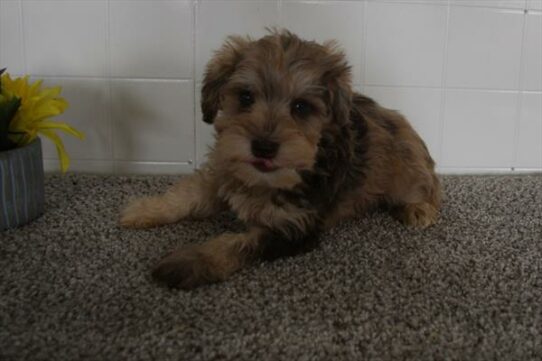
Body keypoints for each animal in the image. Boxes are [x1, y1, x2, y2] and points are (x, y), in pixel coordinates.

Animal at [119, 30, 442, 290]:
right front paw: (145, 209)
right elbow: (187, 194)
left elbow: (236, 243)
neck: (265, 180)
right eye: (245, 97)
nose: (263, 147)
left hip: (409, 173)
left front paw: (187, 262)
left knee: (428, 190)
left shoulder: (290, 228)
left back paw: (418, 210)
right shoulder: (223, 172)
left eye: (301, 107)